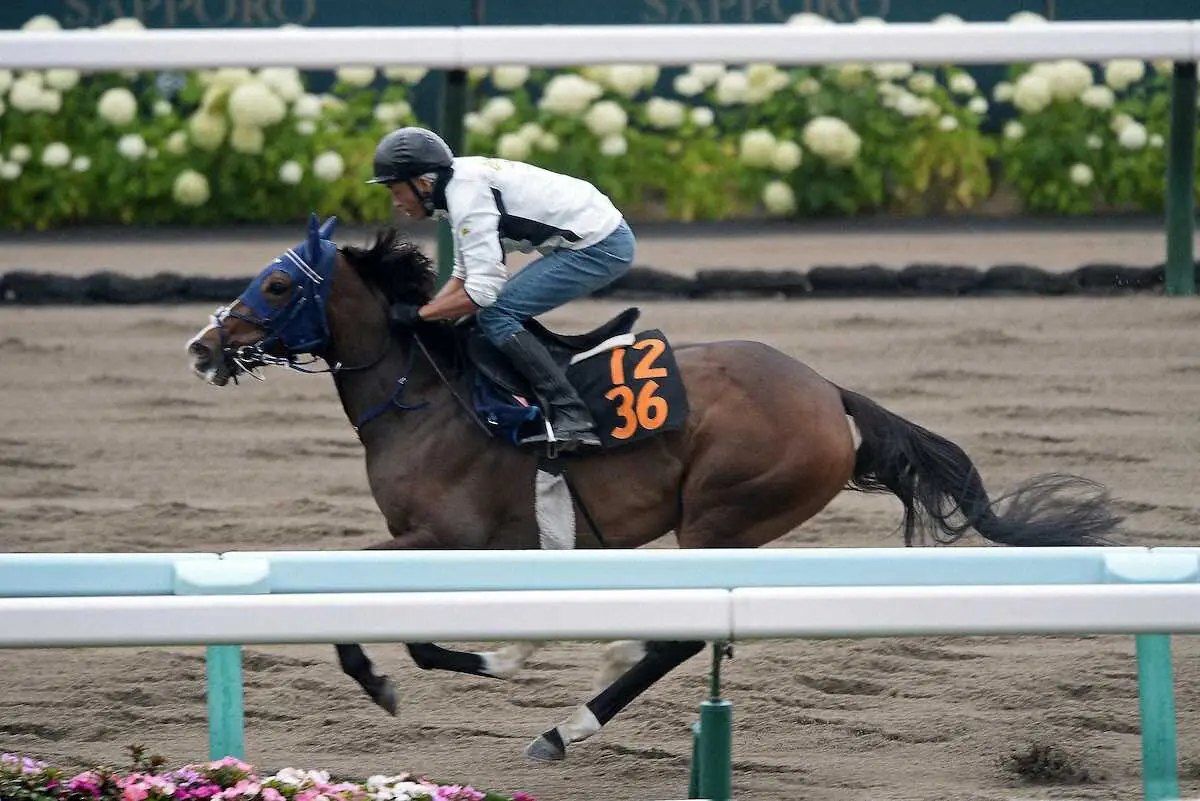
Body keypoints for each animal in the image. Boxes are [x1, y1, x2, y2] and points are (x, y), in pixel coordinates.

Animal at [182, 214, 1118, 762]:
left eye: (276, 283)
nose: (202, 346)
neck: (432, 393)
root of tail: (830, 392)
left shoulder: (444, 536)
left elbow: (390, 631)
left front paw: (459, 666)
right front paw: (491, 655)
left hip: (722, 515)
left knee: (679, 635)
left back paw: (566, 726)